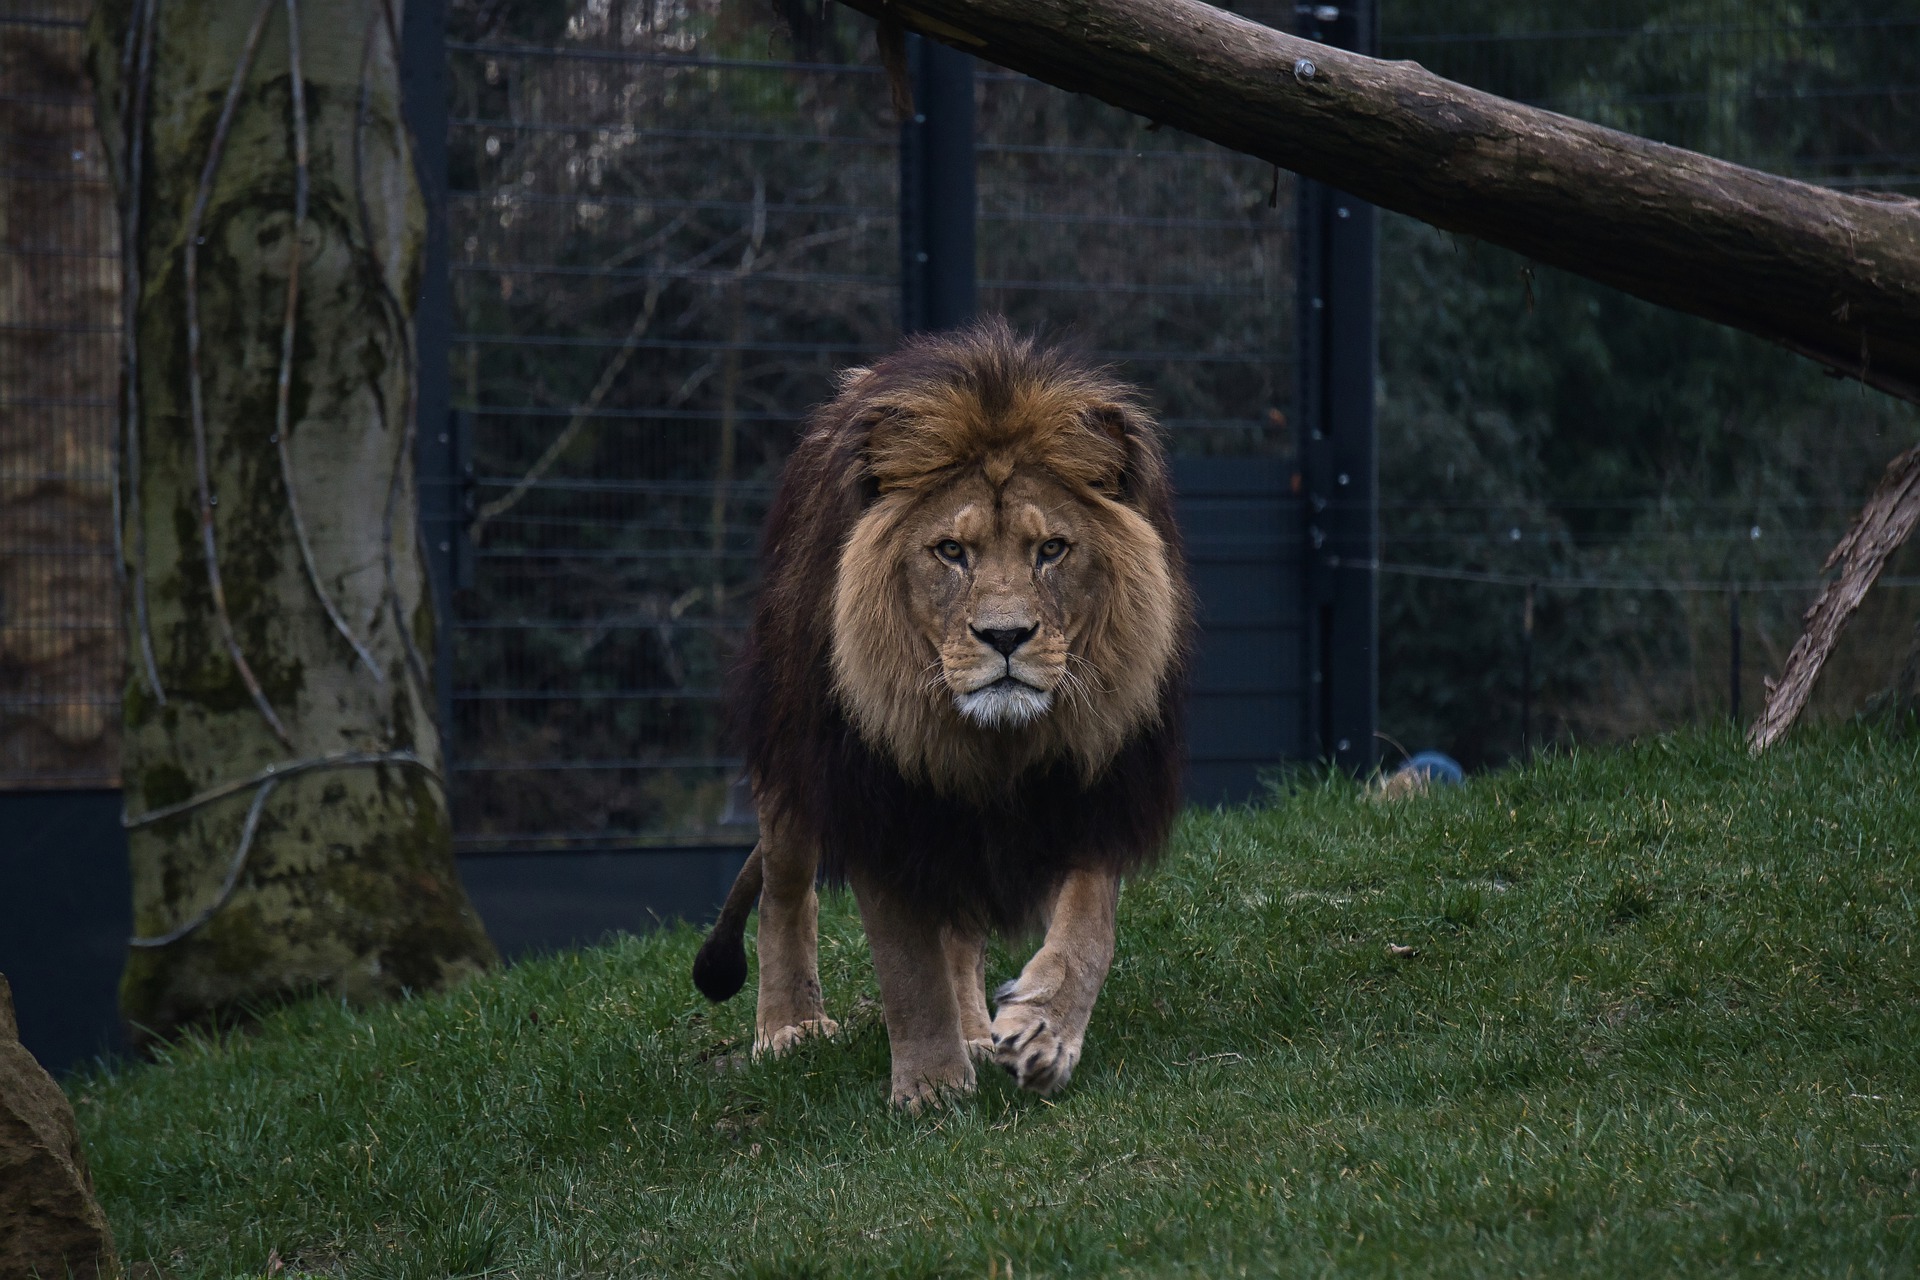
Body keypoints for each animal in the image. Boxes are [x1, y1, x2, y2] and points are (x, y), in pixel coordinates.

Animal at [692, 320, 1192, 1109]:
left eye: (1052, 549)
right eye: (950, 551)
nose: (1006, 636)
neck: (994, 743)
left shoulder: (1098, 783)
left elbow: (1088, 931)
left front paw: (1042, 1034)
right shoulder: (879, 800)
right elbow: (906, 963)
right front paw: (930, 1088)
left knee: (957, 930)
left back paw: (979, 1034)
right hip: (792, 748)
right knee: (785, 889)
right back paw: (790, 1025)